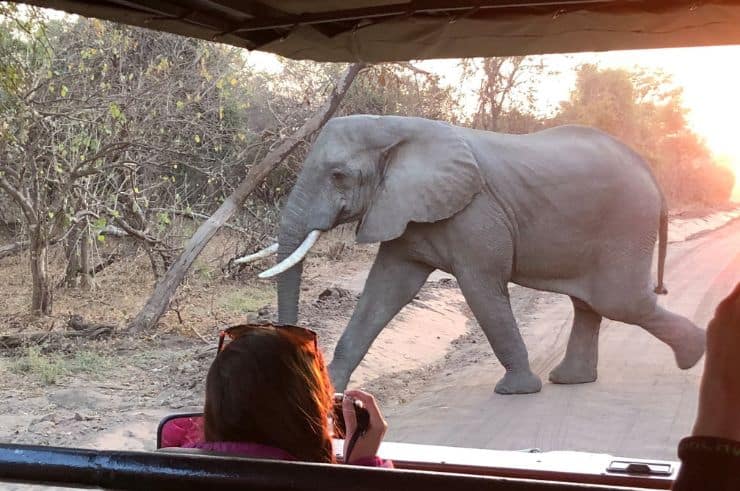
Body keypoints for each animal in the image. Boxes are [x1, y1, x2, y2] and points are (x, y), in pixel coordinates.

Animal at [247, 115, 704, 396]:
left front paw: (516, 391)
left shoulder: (476, 213)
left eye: (339, 175)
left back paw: (694, 356)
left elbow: (482, 288)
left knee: (620, 302)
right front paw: (335, 394)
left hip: (625, 224)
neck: (396, 126)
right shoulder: (403, 209)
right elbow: (385, 290)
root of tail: (652, 175)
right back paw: (572, 380)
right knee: (590, 304)